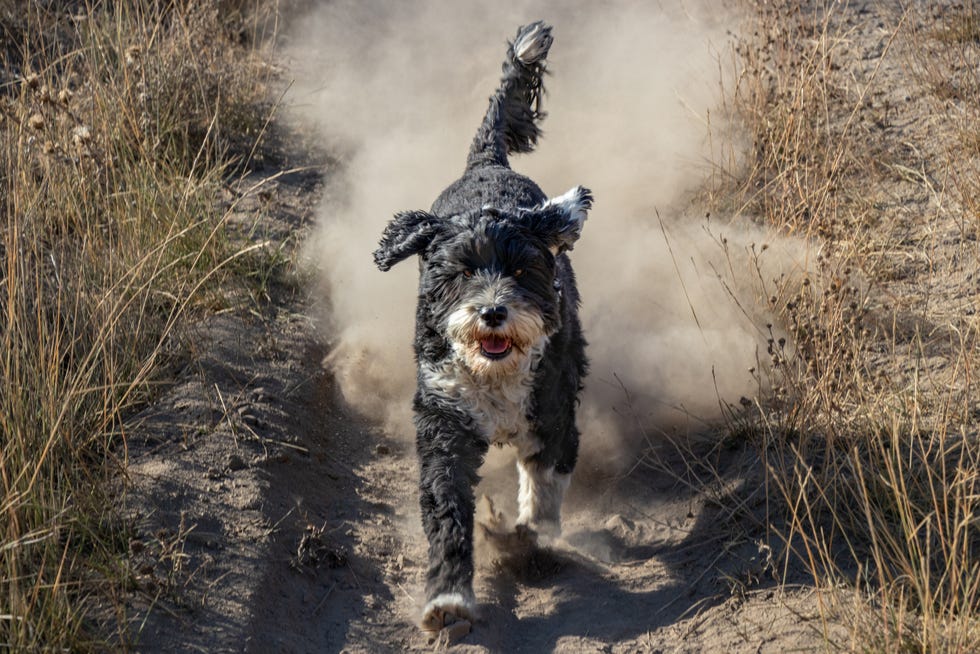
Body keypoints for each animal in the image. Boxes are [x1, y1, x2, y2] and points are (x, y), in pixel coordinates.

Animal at [374, 21, 588, 636]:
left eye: (521, 270)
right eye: (463, 270)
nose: (492, 311)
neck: (496, 374)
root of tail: (486, 164)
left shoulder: (552, 411)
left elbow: (544, 486)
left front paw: (532, 542)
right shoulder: (444, 423)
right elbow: (446, 508)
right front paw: (448, 601)